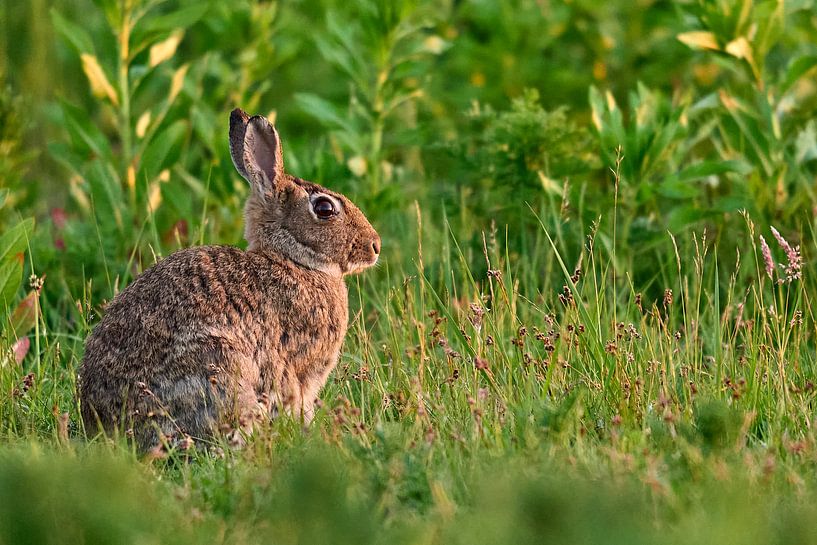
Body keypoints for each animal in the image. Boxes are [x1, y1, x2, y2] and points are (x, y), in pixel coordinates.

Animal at [79, 108, 381, 451]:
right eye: (325, 208)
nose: (375, 246)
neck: (293, 260)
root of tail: (109, 426)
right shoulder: (298, 370)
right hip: (218, 368)